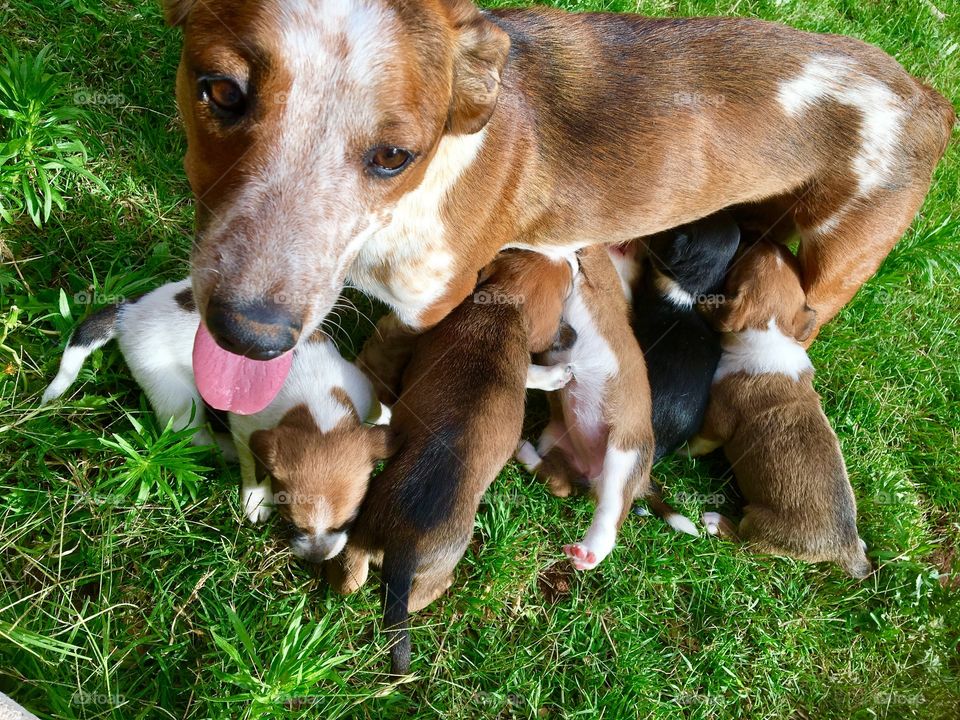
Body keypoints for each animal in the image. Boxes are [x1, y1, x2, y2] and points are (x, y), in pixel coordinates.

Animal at [40, 278, 386, 560]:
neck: (316, 407)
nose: (316, 558)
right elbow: (252, 467)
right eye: (290, 522)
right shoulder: (246, 426)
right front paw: (256, 499)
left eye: (350, 520)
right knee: (195, 437)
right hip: (179, 398)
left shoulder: (361, 390)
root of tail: (130, 311)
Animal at [161, 0, 948, 420]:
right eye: (221, 92)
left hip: (831, 265)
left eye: (393, 156)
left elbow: (383, 351)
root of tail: (930, 97)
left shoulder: (428, 304)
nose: (249, 336)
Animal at [326, 249, 572, 676]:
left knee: (351, 581)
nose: (577, 257)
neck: (502, 306)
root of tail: (405, 545)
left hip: (362, 538)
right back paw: (449, 583)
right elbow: (535, 375)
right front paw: (558, 374)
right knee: (420, 596)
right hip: (434, 568)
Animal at [516, 245, 668, 572]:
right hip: (554, 440)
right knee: (559, 484)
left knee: (610, 515)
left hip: (622, 458)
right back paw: (525, 453)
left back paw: (589, 553)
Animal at [688, 242, 872, 580]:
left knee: (743, 546)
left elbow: (699, 442)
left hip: (756, 522)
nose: (775, 241)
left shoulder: (717, 422)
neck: (771, 331)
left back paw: (715, 522)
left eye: (742, 259)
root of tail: (845, 549)